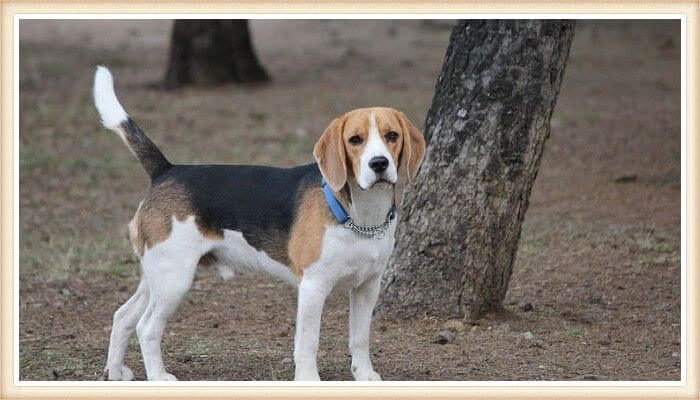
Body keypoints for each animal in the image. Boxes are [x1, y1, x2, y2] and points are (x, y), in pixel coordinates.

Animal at [93, 66, 426, 382]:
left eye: (392, 136)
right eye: (355, 140)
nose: (379, 164)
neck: (360, 216)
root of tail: (166, 170)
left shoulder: (368, 286)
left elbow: (360, 338)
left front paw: (364, 375)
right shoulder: (313, 287)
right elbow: (308, 343)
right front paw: (309, 380)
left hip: (157, 274)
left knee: (122, 316)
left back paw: (115, 372)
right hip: (174, 277)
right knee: (147, 327)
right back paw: (159, 377)